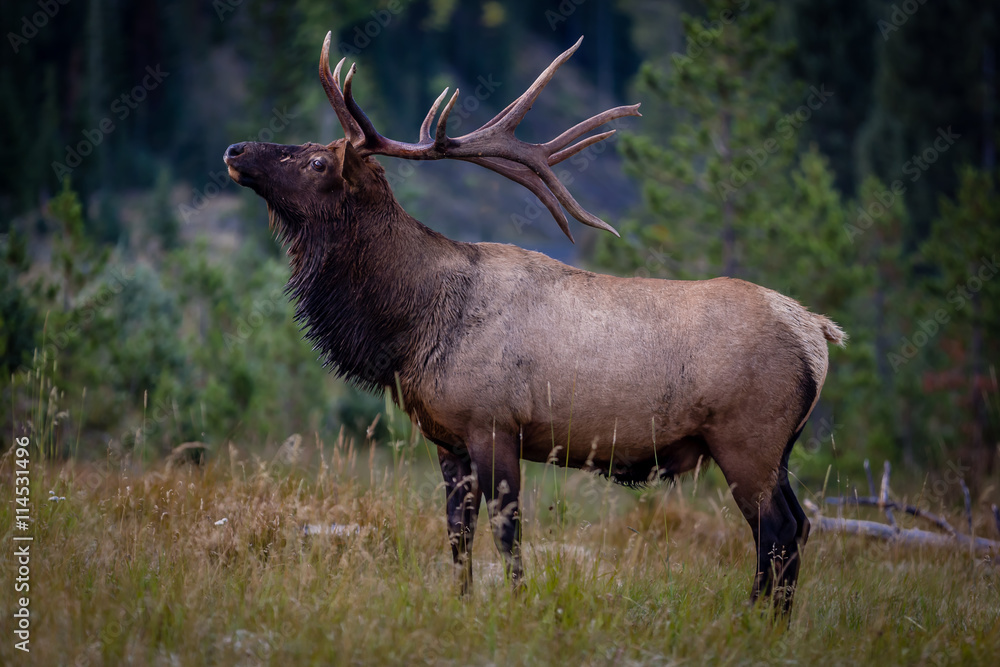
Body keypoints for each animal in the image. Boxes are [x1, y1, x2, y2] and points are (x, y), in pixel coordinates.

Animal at [223, 33, 846, 618]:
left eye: (317, 162)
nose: (235, 148)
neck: (411, 326)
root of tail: (817, 332)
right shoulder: (447, 439)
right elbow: (457, 534)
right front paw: (462, 604)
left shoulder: (494, 424)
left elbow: (507, 532)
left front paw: (518, 606)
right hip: (776, 450)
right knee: (797, 527)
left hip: (747, 440)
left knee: (777, 531)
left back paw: (757, 619)